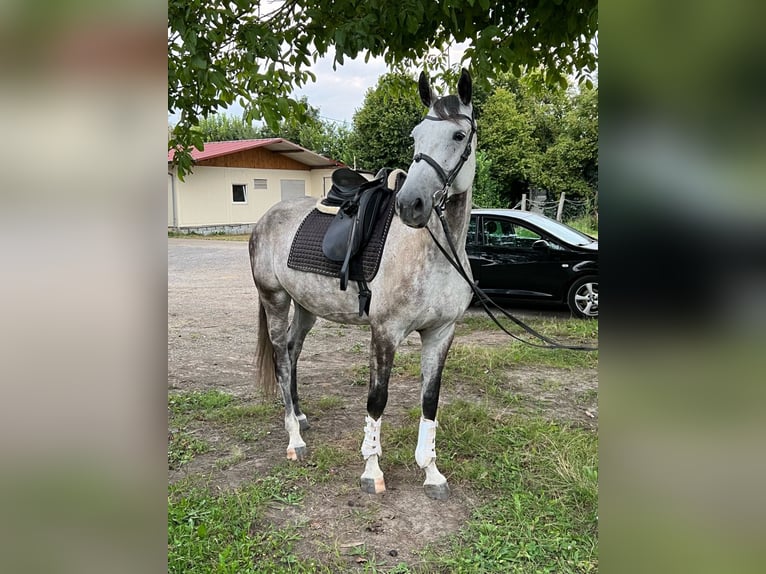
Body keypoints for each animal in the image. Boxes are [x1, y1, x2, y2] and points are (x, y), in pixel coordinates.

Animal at [249, 69, 476, 500]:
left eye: (459, 135)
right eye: (415, 136)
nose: (411, 205)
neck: (433, 253)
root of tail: (265, 218)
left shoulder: (441, 333)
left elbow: (430, 400)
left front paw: (431, 472)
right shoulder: (384, 332)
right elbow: (377, 400)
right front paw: (372, 471)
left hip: (306, 307)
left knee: (293, 350)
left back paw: (300, 415)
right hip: (275, 300)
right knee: (282, 359)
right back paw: (294, 438)